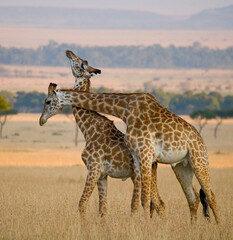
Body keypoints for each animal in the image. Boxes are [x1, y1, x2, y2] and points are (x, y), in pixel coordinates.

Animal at [39, 51, 164, 218]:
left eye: (47, 101)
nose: (41, 120)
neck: (89, 129)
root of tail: (155, 159)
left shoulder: (93, 168)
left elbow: (82, 204)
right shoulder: (102, 175)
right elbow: (102, 209)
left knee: (156, 204)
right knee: (157, 204)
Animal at [39, 79, 219, 223]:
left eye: (47, 101)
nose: (41, 120)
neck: (124, 109)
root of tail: (200, 139)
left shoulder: (141, 154)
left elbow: (143, 200)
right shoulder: (136, 158)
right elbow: (133, 202)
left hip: (199, 160)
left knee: (210, 195)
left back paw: (218, 227)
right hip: (181, 166)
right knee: (192, 198)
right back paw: (193, 227)